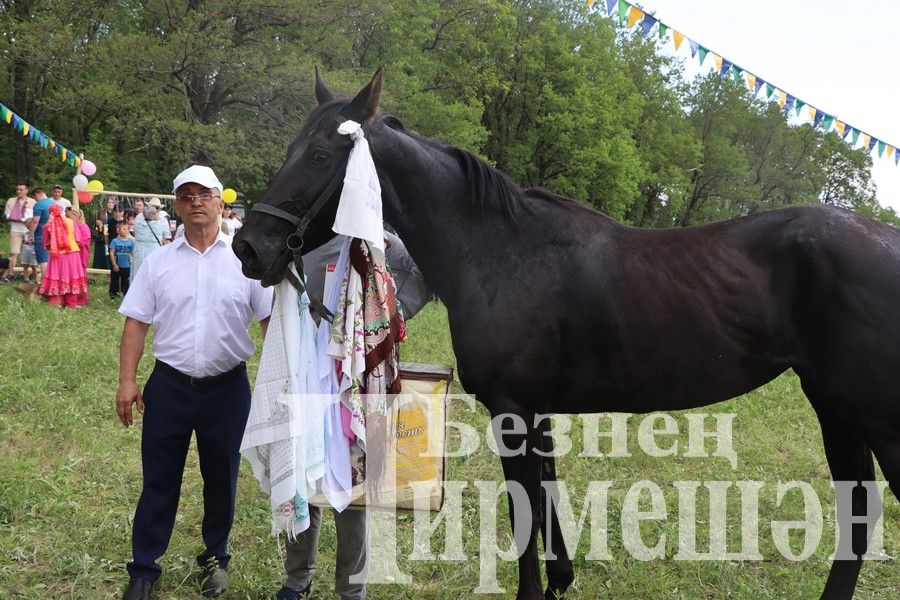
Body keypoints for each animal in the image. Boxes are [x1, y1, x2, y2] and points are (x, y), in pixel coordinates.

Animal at [234, 70, 900, 600]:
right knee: (857, 515)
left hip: (870, 415)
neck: (498, 250)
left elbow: (525, 511)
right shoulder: (539, 413)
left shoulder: (514, 411)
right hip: (836, 408)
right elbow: (547, 502)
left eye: (322, 157)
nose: (250, 246)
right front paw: (560, 581)